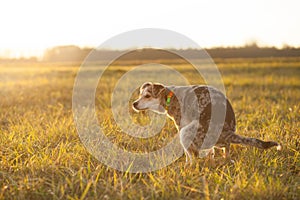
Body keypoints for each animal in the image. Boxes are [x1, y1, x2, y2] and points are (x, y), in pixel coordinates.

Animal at [132, 82, 280, 163]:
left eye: (147, 96)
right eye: (140, 95)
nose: (134, 104)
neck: (169, 96)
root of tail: (227, 132)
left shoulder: (181, 125)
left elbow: (188, 155)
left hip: (186, 132)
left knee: (194, 158)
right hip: (219, 143)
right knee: (225, 152)